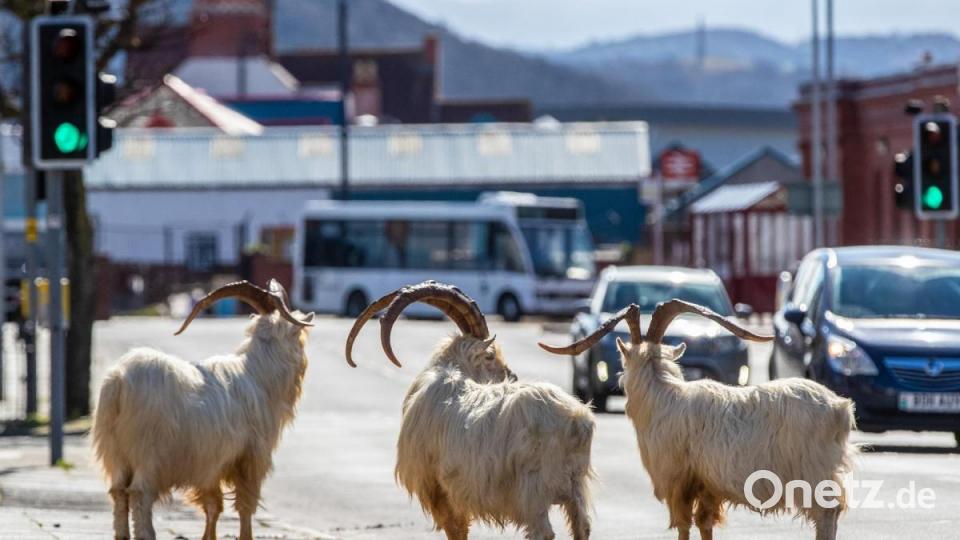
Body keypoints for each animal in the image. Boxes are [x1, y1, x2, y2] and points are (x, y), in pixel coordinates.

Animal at [91, 280, 315, 540]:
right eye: (300, 338)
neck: (258, 374)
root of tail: (120, 381)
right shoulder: (250, 456)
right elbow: (245, 504)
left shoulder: (211, 463)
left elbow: (212, 505)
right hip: (148, 451)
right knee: (139, 493)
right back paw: (147, 533)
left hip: (115, 452)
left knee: (118, 491)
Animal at [345, 281, 595, 540]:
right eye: (490, 356)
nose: (512, 376)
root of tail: (575, 420)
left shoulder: (438, 488)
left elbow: (456, 530)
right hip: (575, 486)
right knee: (582, 526)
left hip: (533, 490)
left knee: (543, 532)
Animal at [540, 300, 856, 540]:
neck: (663, 395)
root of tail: (839, 408)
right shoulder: (707, 487)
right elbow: (705, 524)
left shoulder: (678, 480)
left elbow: (683, 526)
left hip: (812, 472)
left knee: (827, 513)